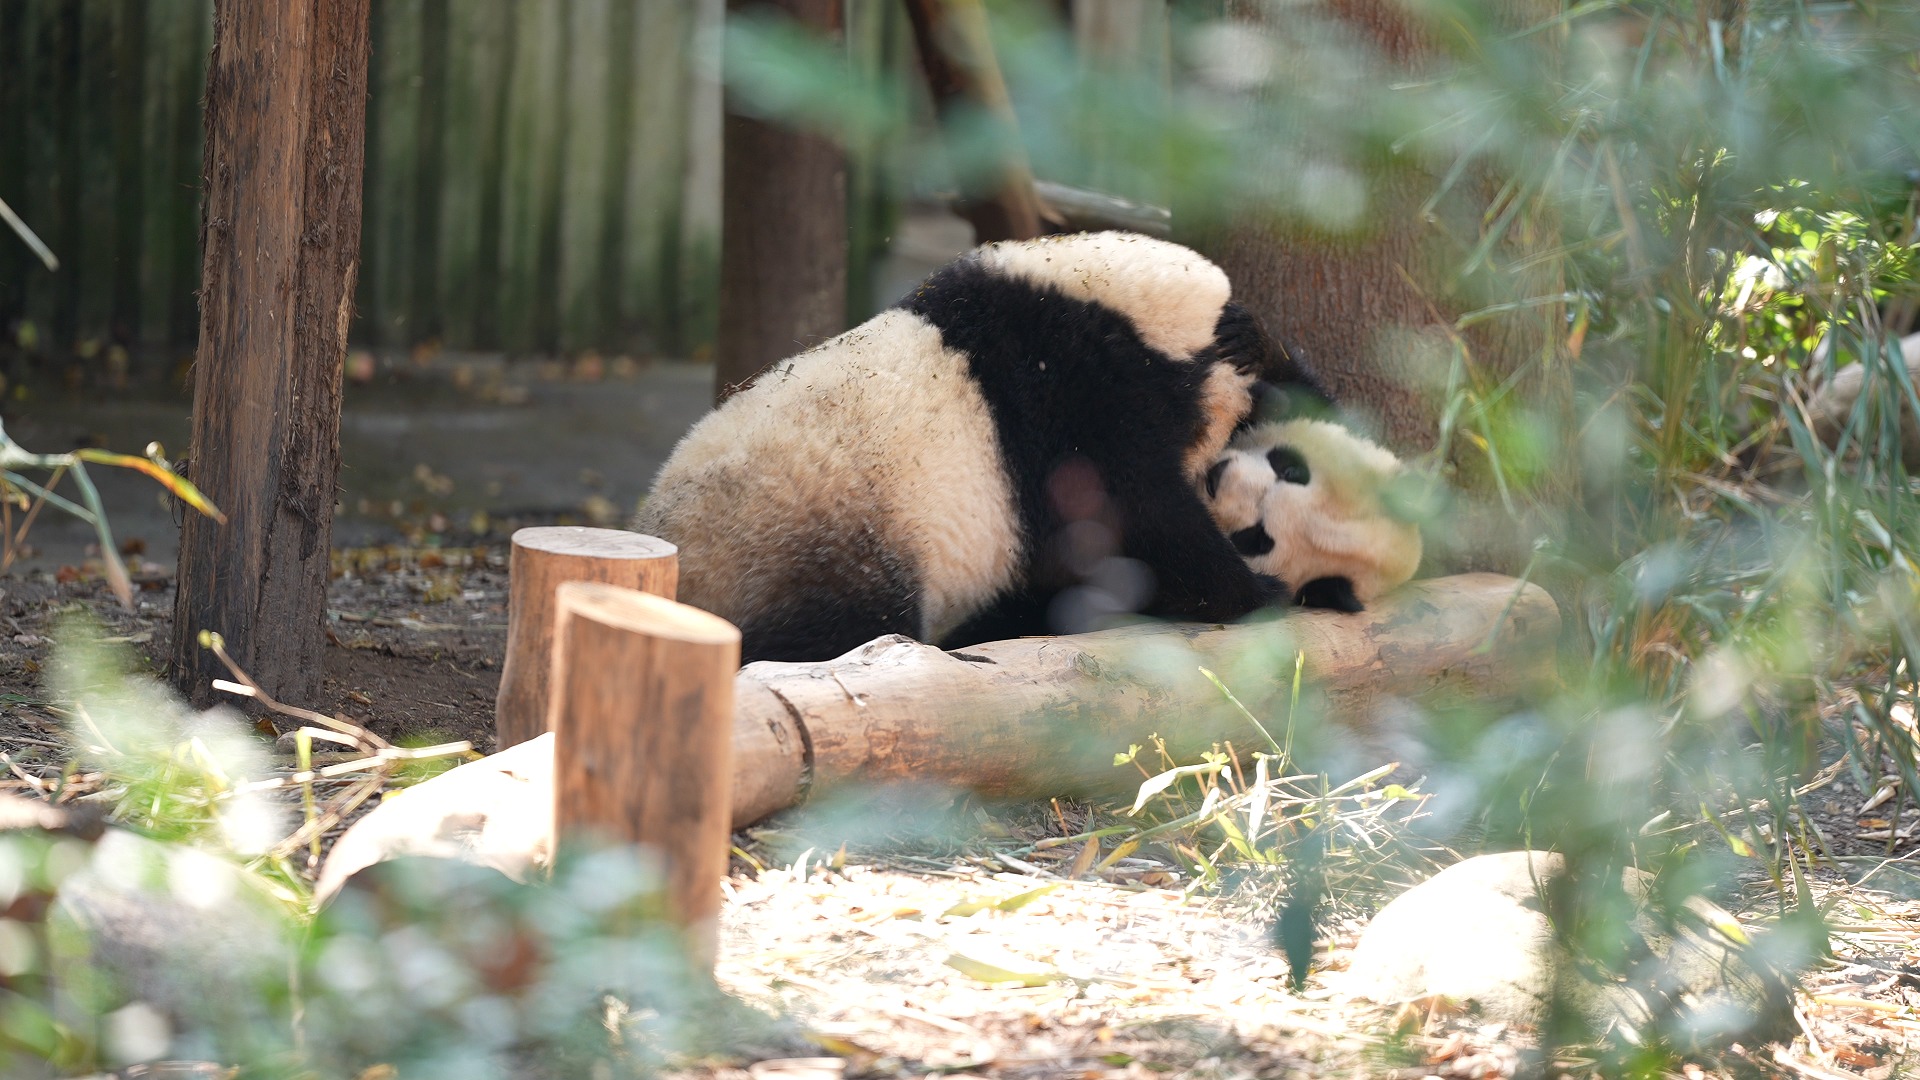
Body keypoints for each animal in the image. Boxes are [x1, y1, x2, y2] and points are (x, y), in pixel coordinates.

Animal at [634, 231, 1318, 663]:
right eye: (1258, 396)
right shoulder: (1074, 405)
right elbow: (1135, 525)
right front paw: (1256, 591)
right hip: (817, 544)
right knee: (830, 636)